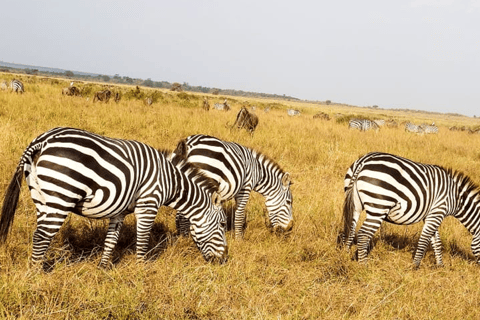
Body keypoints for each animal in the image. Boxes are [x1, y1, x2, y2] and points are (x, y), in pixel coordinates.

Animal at [0, 126, 229, 266]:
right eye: (222, 225)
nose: (225, 259)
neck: (170, 182)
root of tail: (43, 139)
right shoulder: (148, 205)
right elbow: (143, 240)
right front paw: (141, 270)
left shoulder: (120, 212)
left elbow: (111, 240)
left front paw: (103, 268)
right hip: (61, 197)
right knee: (41, 236)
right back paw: (36, 276)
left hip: (41, 197)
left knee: (40, 234)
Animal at [344, 151, 480, 268]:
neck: (457, 198)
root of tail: (364, 160)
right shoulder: (438, 211)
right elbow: (424, 240)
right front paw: (415, 266)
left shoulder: (430, 215)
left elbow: (436, 240)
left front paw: (440, 265)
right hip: (379, 206)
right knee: (363, 235)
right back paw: (364, 265)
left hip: (355, 205)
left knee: (351, 229)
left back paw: (345, 255)